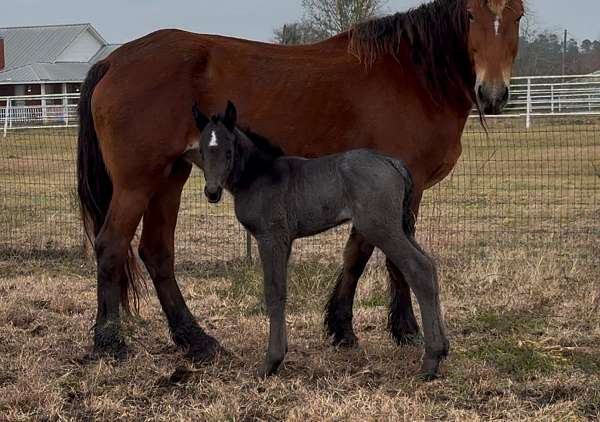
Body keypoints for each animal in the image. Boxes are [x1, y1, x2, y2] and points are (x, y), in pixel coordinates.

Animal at [190, 102, 448, 380]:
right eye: (202, 151)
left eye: (228, 152)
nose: (212, 192)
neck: (260, 175)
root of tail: (393, 162)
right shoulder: (286, 240)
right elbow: (281, 289)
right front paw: (281, 354)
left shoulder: (271, 237)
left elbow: (274, 291)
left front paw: (270, 363)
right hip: (400, 227)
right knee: (430, 265)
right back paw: (443, 348)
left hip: (380, 228)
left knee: (418, 268)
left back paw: (430, 362)